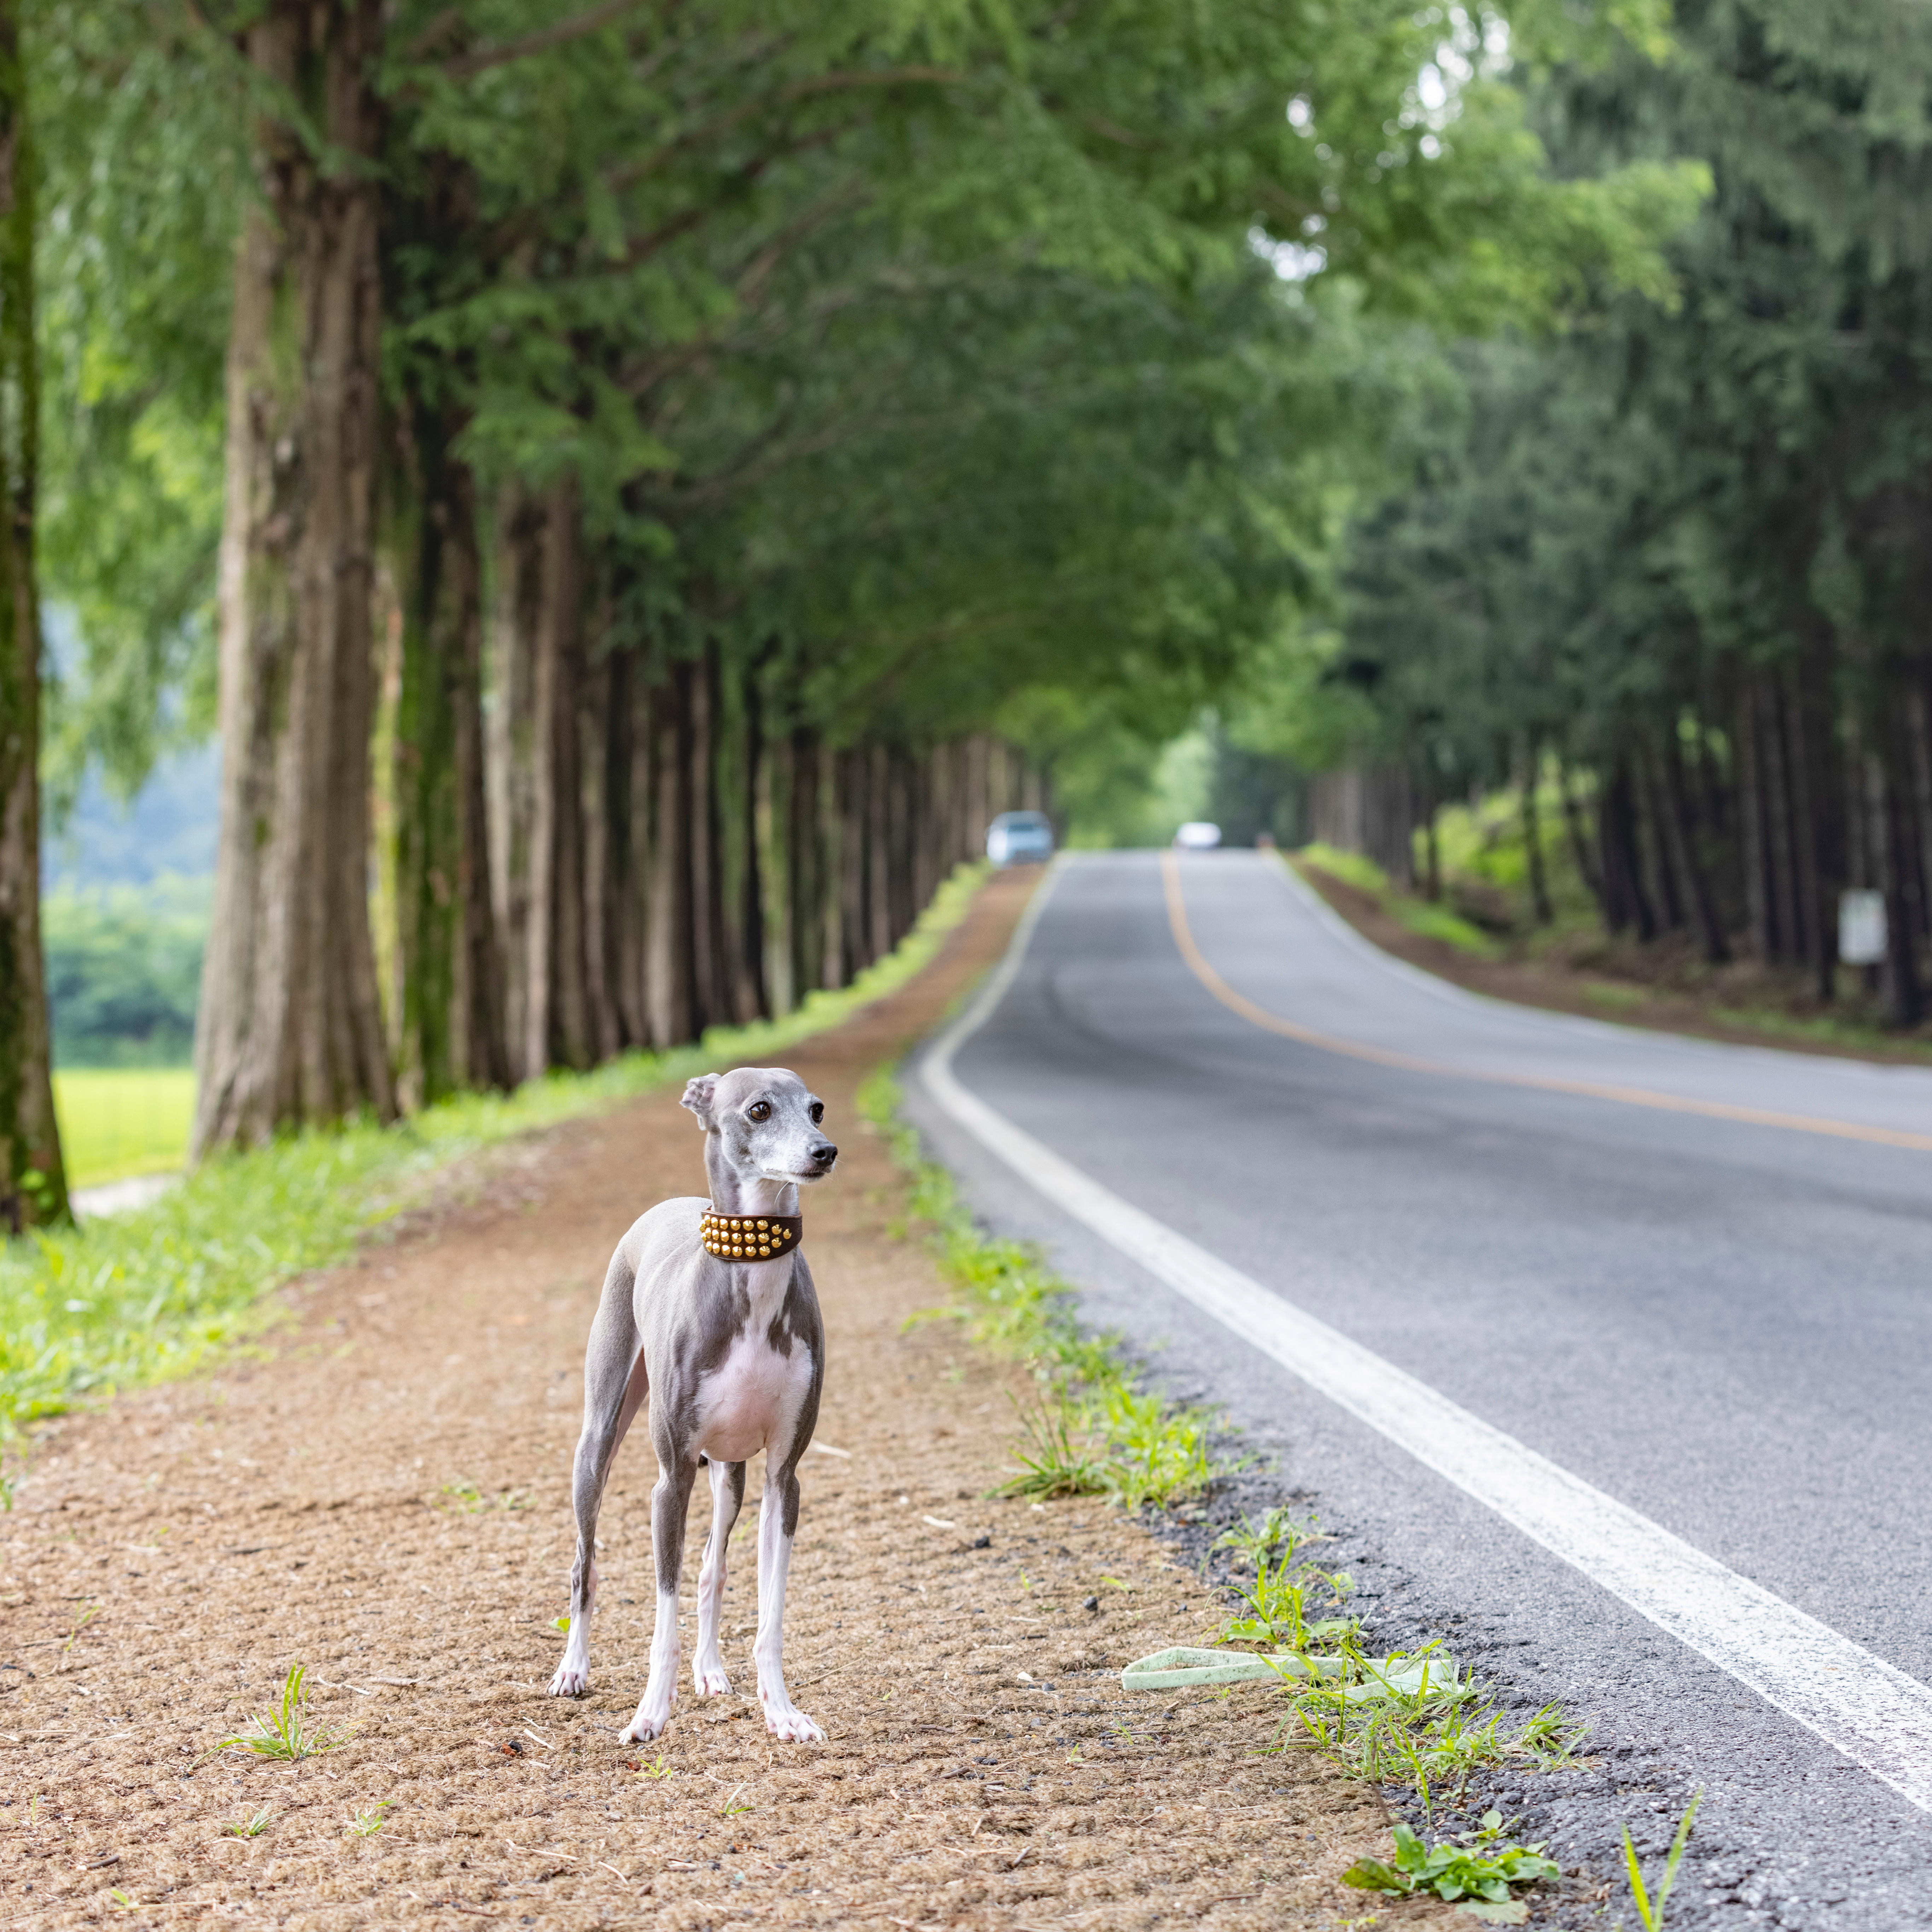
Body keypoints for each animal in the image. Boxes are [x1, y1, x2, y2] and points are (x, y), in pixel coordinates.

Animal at [548, 1066, 842, 1746]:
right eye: (759, 1109)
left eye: (816, 1107)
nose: (824, 1152)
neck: (752, 1282)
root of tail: (664, 1206)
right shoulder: (672, 1477)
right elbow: (664, 1613)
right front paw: (650, 1713)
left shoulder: (784, 1475)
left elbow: (767, 1615)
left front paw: (782, 1711)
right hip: (598, 1442)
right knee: (584, 1563)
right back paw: (573, 1668)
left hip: (730, 1472)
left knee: (713, 1569)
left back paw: (710, 1669)